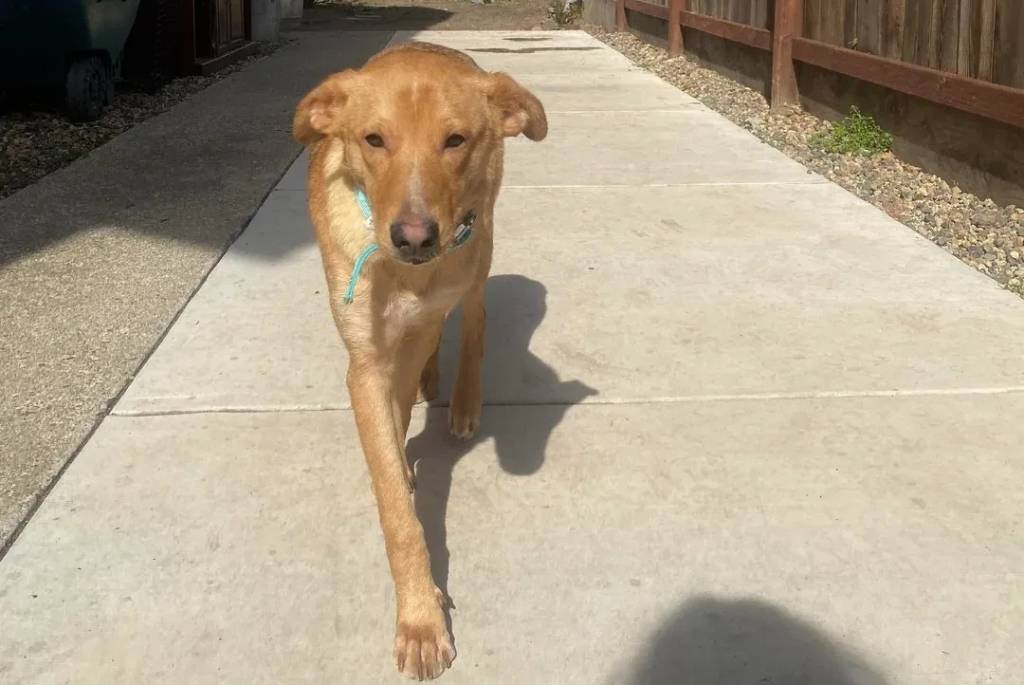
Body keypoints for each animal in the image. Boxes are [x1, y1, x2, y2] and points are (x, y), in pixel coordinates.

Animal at [293, 42, 547, 680]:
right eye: (373, 139)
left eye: (454, 140)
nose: (413, 237)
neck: (402, 274)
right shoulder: (365, 364)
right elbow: (394, 500)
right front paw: (420, 612)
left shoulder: (415, 329)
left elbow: (403, 412)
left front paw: (420, 622)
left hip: (480, 244)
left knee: (473, 321)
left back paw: (461, 402)